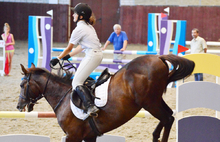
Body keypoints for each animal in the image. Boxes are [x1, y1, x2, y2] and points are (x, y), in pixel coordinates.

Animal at [16, 54, 194, 142]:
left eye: (22, 85)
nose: (19, 106)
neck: (63, 97)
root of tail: (158, 58)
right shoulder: (89, 136)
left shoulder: (73, 136)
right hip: (155, 100)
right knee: (169, 116)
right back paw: (155, 136)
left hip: (150, 102)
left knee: (167, 118)